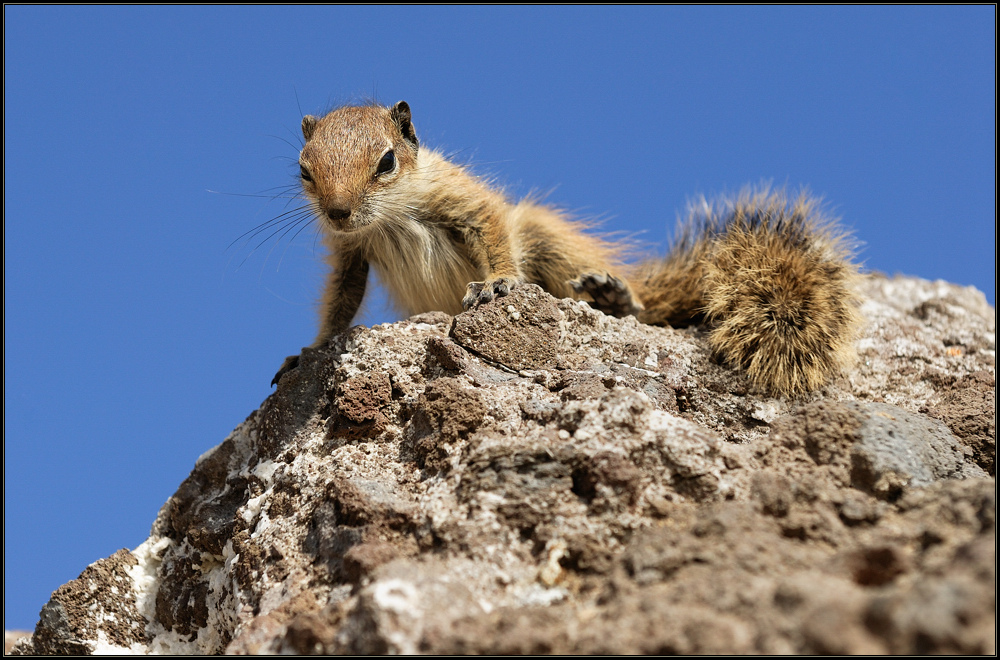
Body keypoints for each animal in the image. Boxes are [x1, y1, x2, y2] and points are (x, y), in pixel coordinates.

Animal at [270, 100, 864, 394]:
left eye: (387, 161)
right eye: (304, 170)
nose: (337, 212)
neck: (391, 218)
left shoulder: (469, 206)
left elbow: (494, 234)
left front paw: (499, 284)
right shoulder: (350, 253)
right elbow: (342, 299)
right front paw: (310, 350)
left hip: (548, 239)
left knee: (640, 307)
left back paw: (614, 296)